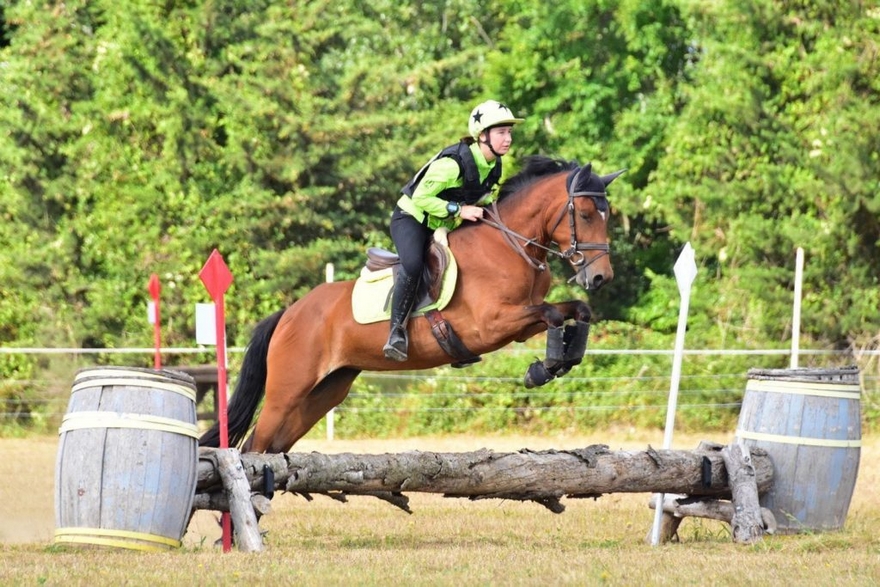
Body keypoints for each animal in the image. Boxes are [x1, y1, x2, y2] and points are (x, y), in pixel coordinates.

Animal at [199, 156, 624, 454]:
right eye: (587, 214)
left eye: (608, 217)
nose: (601, 278)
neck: (509, 243)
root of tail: (289, 313)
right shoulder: (492, 325)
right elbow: (551, 314)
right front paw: (544, 368)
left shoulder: (520, 322)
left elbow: (575, 310)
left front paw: (565, 358)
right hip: (287, 390)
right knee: (253, 446)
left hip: (324, 391)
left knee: (270, 446)